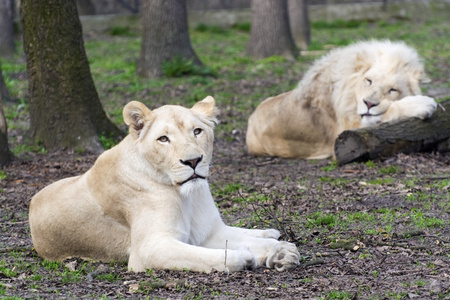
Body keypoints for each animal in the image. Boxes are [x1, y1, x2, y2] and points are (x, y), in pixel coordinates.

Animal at [29, 97, 300, 274]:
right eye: (163, 139)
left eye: (197, 131)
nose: (193, 161)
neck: (187, 196)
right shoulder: (148, 249)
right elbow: (204, 255)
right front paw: (245, 256)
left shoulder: (206, 232)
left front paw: (281, 253)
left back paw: (270, 232)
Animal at [244, 40, 438, 159]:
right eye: (369, 81)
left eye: (392, 90)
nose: (369, 104)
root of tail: (251, 117)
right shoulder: (344, 132)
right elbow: (388, 111)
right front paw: (423, 103)